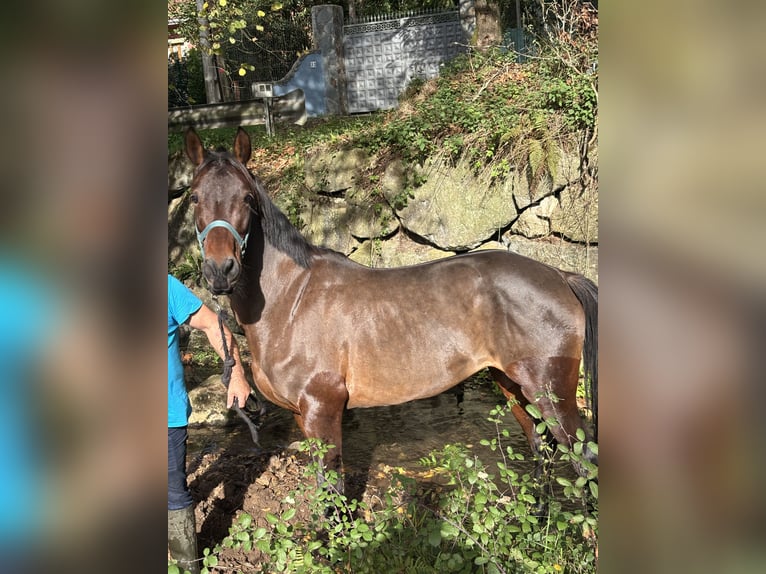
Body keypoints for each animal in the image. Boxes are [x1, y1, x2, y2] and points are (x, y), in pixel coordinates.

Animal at [183, 127, 598, 491]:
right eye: (194, 198)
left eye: (247, 198)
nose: (220, 270)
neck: (291, 301)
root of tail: (560, 275)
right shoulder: (304, 416)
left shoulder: (322, 408)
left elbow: (332, 491)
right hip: (514, 388)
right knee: (542, 453)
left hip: (551, 394)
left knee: (583, 462)